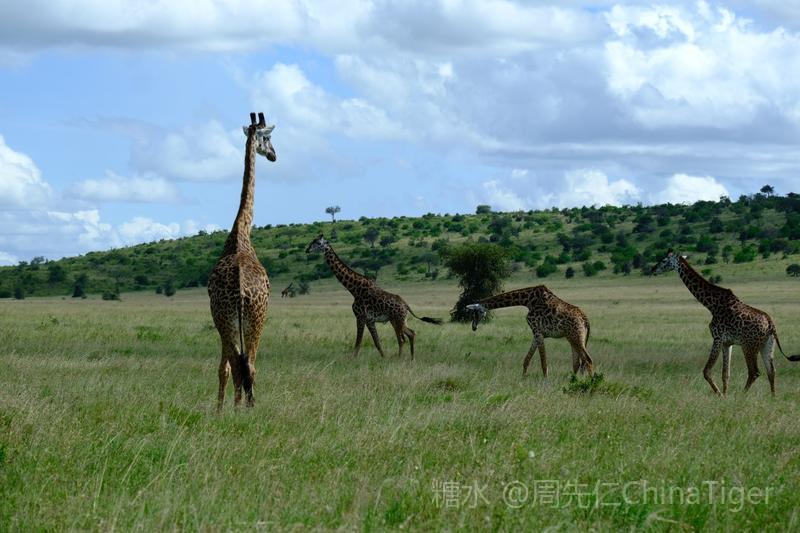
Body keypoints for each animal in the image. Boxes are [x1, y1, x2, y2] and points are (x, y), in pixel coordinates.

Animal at [306, 234, 442, 359]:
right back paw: (411, 358)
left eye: (317, 242)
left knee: (403, 338)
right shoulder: (370, 320)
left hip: (398, 320)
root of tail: (406, 305)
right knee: (410, 334)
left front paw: (352, 360)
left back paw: (401, 358)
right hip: (398, 320)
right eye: (312, 241)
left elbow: (358, 342)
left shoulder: (360, 317)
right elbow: (377, 342)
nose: (307, 250)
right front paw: (383, 358)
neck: (354, 289)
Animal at [653, 250, 800, 396]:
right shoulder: (727, 343)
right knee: (771, 371)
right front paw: (725, 394)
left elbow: (707, 371)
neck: (711, 305)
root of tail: (770, 324)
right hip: (767, 345)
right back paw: (773, 397)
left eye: (664, 260)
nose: (653, 269)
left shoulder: (717, 338)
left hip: (749, 345)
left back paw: (742, 395)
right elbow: (725, 374)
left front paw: (719, 394)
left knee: (754, 372)